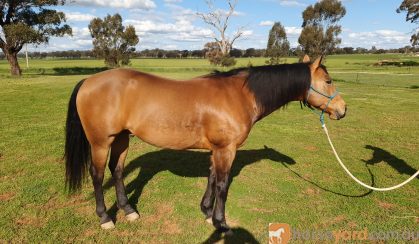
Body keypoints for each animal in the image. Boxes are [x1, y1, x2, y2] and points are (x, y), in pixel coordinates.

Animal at [65, 55, 348, 231]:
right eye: (329, 81)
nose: (343, 109)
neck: (240, 95)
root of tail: (89, 81)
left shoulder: (217, 149)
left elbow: (212, 177)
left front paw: (206, 211)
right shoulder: (226, 150)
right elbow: (222, 184)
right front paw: (221, 222)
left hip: (122, 139)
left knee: (117, 170)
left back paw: (129, 210)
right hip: (101, 142)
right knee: (97, 175)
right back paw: (105, 218)